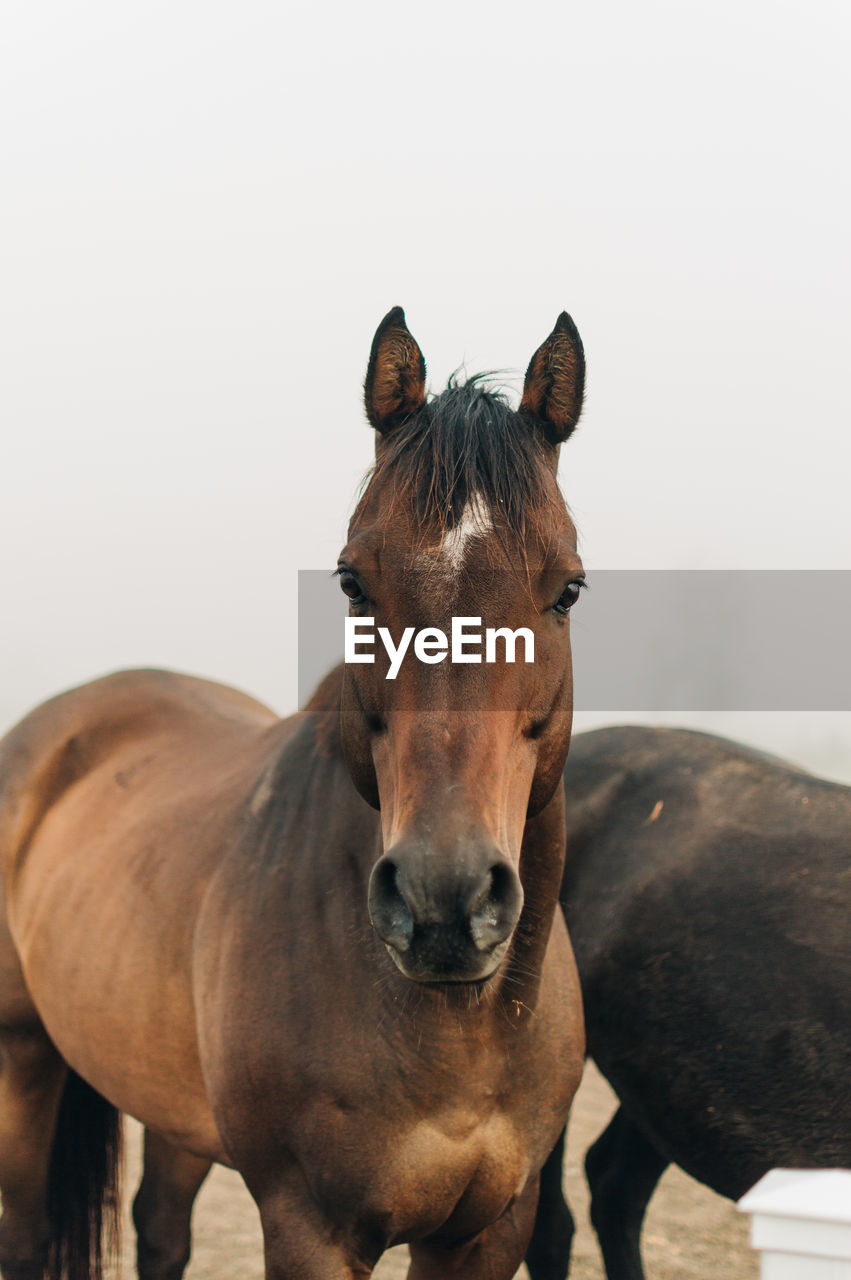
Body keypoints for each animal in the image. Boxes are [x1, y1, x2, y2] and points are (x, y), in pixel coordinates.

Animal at [0, 309, 591, 1280]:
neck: (458, 1027)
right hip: (24, 1058)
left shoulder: (488, 1229)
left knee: (161, 1230)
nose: (442, 900)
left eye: (568, 589)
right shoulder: (308, 1227)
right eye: (353, 580)